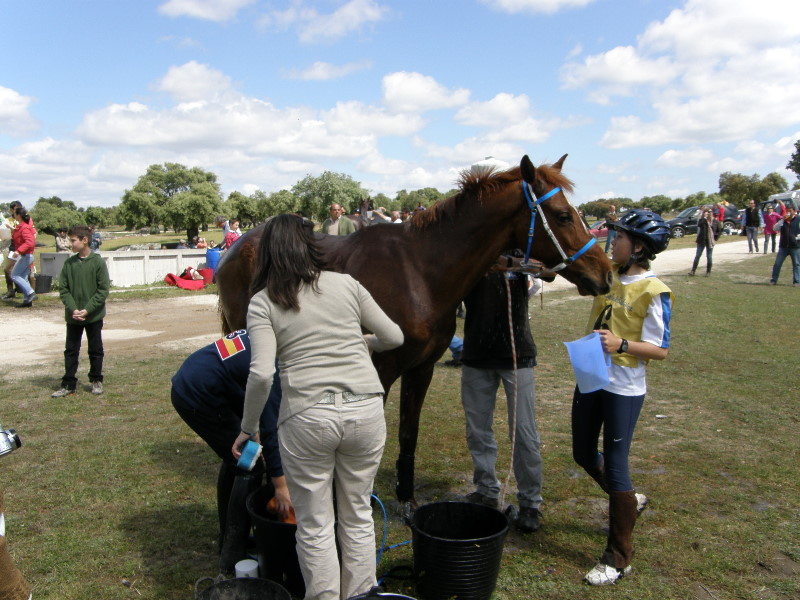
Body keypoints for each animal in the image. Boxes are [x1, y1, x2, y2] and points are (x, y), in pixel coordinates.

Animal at [214, 157, 612, 504]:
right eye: (563, 215)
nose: (605, 273)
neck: (419, 272)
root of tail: (237, 247)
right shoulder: (379, 371)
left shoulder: (420, 369)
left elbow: (409, 434)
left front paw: (406, 497)